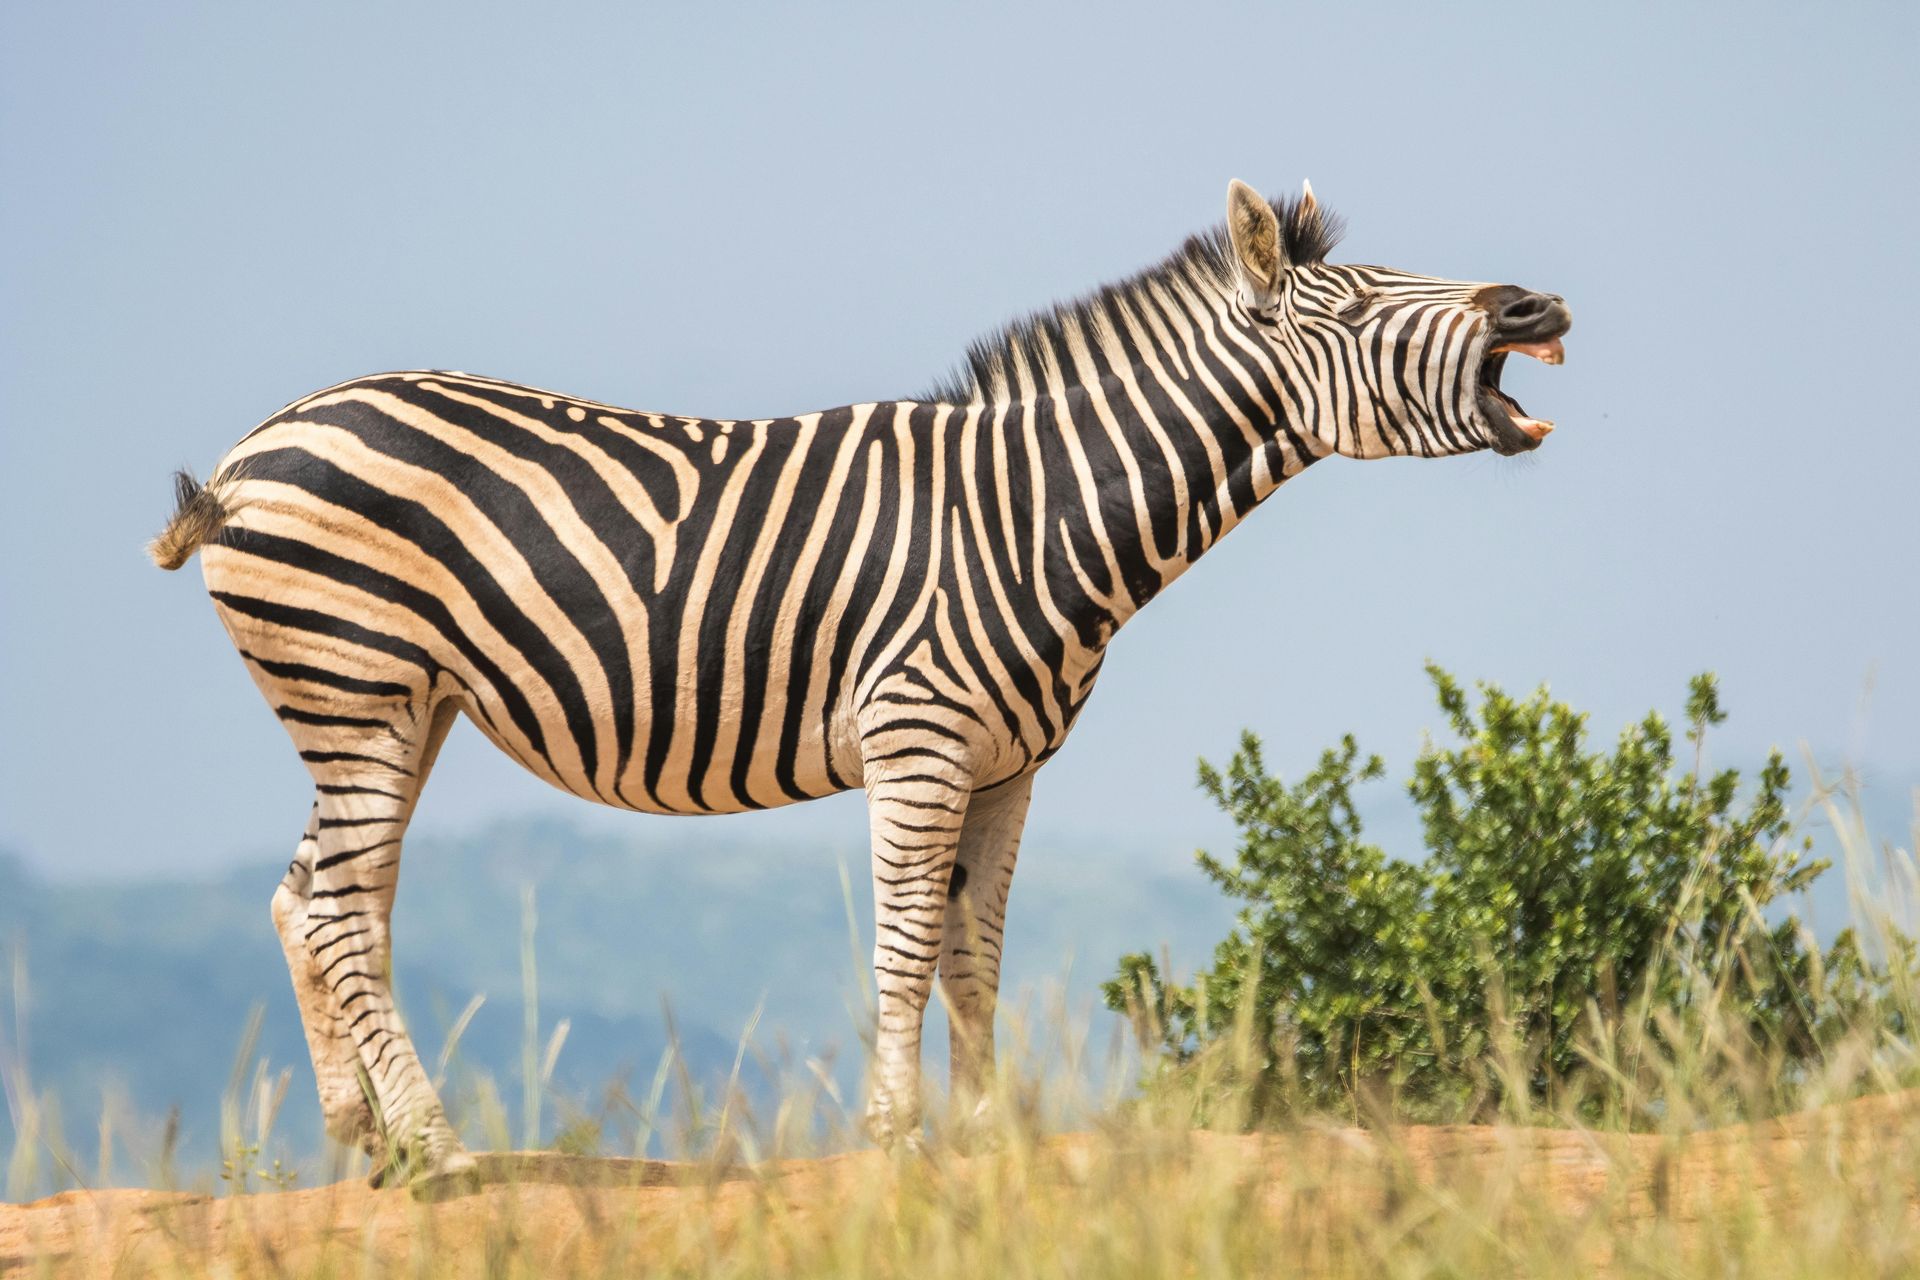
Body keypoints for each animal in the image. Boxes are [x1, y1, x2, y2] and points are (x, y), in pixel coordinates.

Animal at [145, 175, 1559, 1189]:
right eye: (1362, 307)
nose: (1536, 309)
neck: (1035, 513)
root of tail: (255, 445)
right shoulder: (918, 737)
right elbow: (904, 941)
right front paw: (897, 1132)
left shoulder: (1009, 766)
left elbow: (975, 951)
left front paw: (985, 1135)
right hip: (356, 682)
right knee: (339, 909)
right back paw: (440, 1152)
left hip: (396, 700)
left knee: (311, 897)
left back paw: (366, 1139)